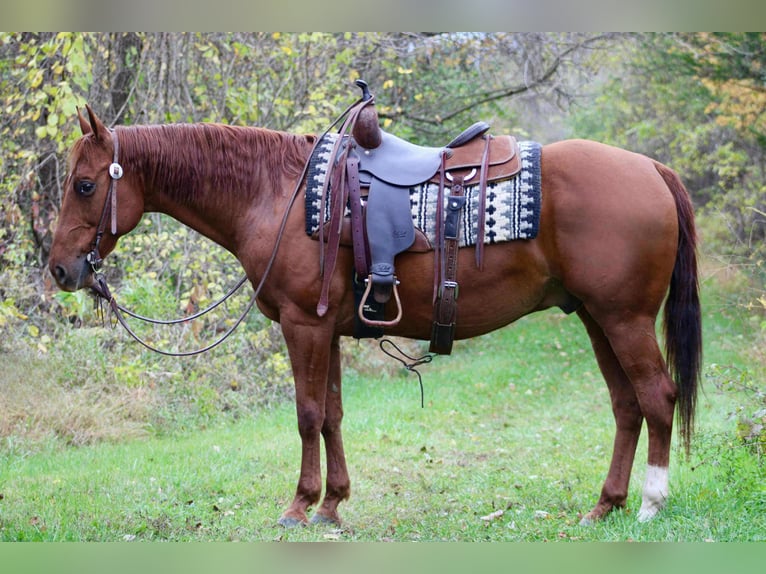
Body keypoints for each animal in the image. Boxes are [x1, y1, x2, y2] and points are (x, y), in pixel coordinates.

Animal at [49, 104, 701, 528]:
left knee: (657, 397)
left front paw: (299, 506)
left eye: (84, 185)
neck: (276, 193)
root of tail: (651, 168)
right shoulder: (328, 329)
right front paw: (334, 504)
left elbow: (308, 415)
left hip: (624, 319)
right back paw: (605, 505)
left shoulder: (303, 325)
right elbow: (333, 415)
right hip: (597, 318)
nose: (59, 270)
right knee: (626, 406)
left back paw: (651, 504)